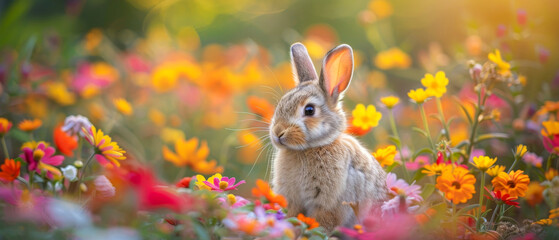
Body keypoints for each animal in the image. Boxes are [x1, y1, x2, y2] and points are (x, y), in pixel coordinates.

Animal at [272, 42, 390, 232]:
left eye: (309, 110)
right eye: (280, 104)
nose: (277, 133)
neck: (309, 149)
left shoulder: (329, 204)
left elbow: (322, 223)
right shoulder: (293, 200)